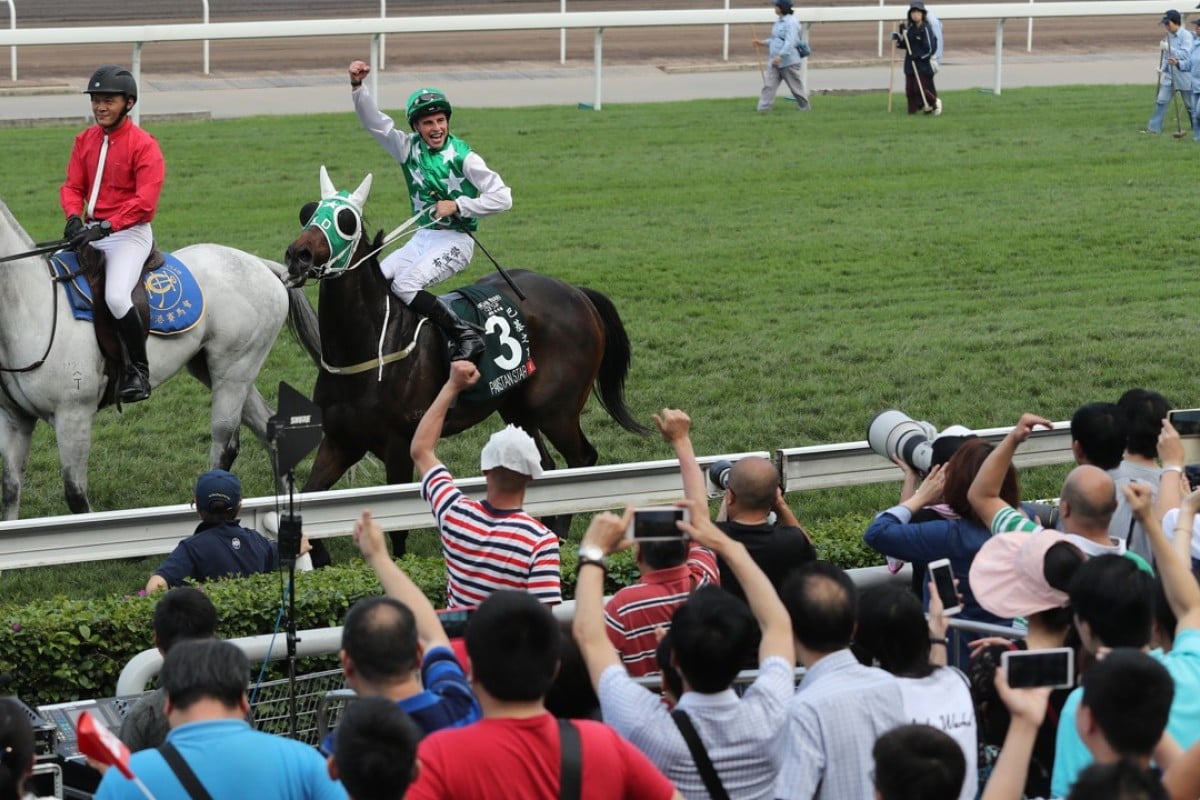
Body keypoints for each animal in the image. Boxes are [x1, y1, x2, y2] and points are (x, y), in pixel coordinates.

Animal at [283, 169, 648, 544]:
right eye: (307, 212)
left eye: (346, 220)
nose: (299, 255)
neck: (371, 346)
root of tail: (577, 293)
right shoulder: (340, 442)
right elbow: (309, 502)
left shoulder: (399, 447)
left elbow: (397, 535)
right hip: (517, 407)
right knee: (544, 466)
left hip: (555, 410)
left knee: (581, 459)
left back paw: (558, 534)